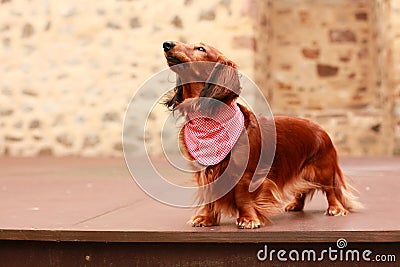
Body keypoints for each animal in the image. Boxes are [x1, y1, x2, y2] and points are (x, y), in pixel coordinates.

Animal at [161, 40, 360, 229]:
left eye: (201, 49)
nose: (167, 44)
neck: (209, 119)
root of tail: (321, 129)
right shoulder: (205, 170)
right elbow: (209, 195)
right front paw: (205, 218)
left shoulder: (246, 173)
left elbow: (243, 197)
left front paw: (248, 219)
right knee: (302, 189)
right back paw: (295, 205)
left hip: (323, 170)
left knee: (331, 190)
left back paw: (335, 208)